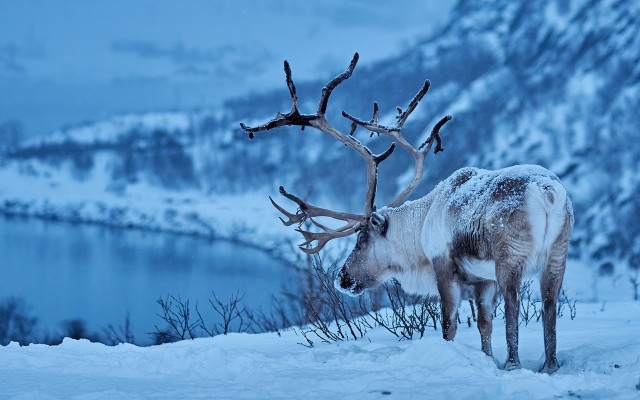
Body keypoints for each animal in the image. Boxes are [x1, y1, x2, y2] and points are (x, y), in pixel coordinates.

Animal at [240, 53, 574, 374]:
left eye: (362, 240)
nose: (342, 278)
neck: (421, 226)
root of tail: (547, 193)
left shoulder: (445, 267)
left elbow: (449, 326)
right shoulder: (483, 278)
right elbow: (484, 324)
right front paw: (486, 359)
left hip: (510, 257)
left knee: (515, 304)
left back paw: (514, 364)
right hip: (558, 255)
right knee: (549, 305)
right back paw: (549, 366)